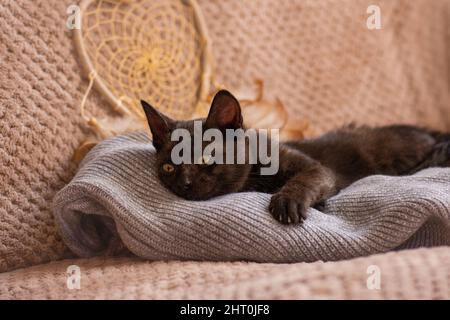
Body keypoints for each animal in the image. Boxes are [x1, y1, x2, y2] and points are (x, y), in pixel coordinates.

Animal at [142, 90, 450, 225]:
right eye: (168, 167)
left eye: (207, 159)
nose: (185, 184)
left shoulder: (317, 168)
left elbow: (306, 179)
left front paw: (287, 202)